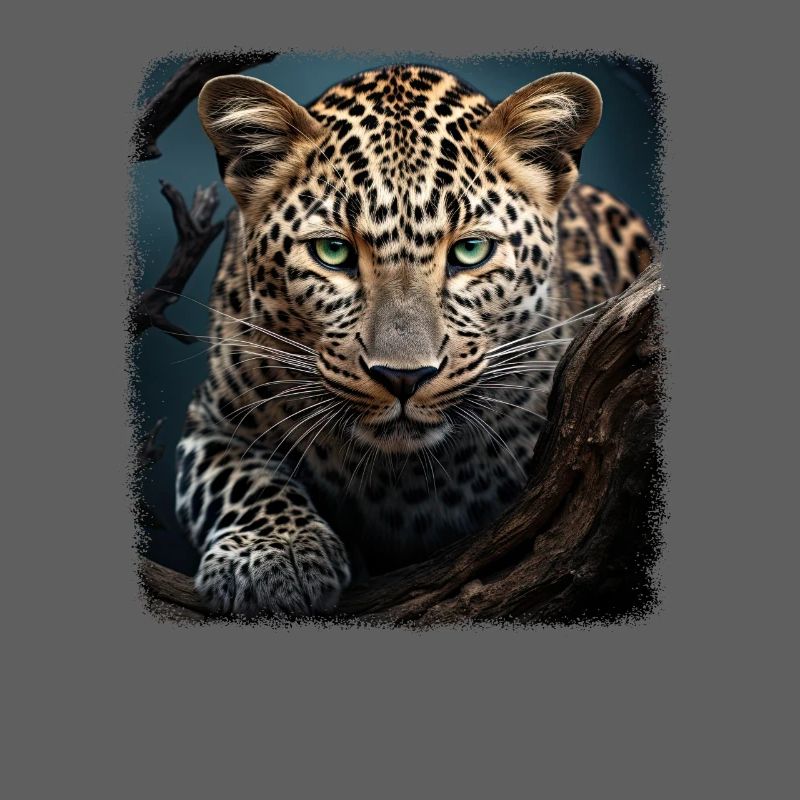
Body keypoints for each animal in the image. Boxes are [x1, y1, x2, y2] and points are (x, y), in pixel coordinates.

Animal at [174, 64, 654, 615]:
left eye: (470, 250)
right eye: (332, 251)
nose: (403, 378)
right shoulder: (212, 422)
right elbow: (243, 481)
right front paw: (272, 554)